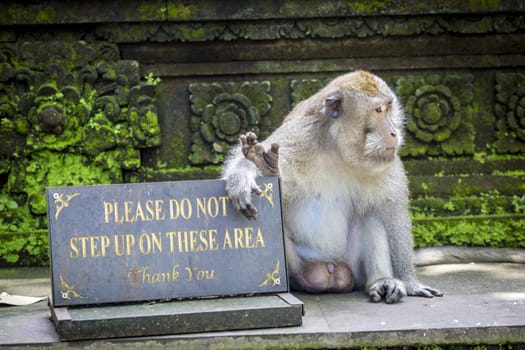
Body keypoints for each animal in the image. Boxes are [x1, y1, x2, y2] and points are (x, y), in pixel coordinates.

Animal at [221, 69, 442, 302]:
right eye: (378, 110)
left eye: (389, 108)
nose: (394, 133)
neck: (336, 147)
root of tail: (330, 271)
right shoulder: (297, 138)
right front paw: (255, 170)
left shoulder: (386, 163)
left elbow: (393, 211)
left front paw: (410, 282)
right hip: (296, 269)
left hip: (353, 268)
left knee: (370, 214)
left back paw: (382, 281)